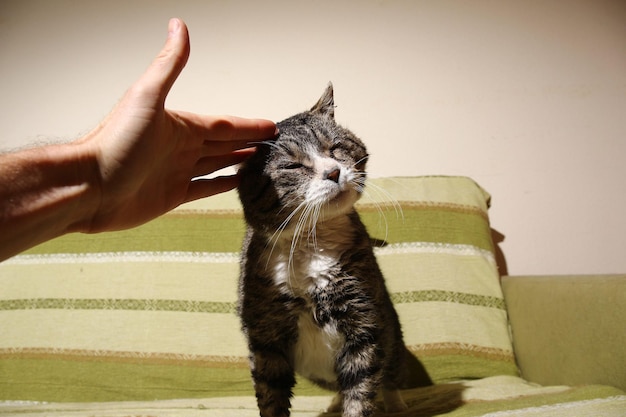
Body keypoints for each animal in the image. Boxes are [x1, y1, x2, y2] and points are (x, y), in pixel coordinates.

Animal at [236, 83, 432, 414]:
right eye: (293, 165)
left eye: (335, 148)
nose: (333, 172)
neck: (311, 244)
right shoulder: (265, 336)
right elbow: (270, 395)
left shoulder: (364, 324)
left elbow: (362, 390)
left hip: (392, 336)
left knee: (389, 377)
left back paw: (397, 406)